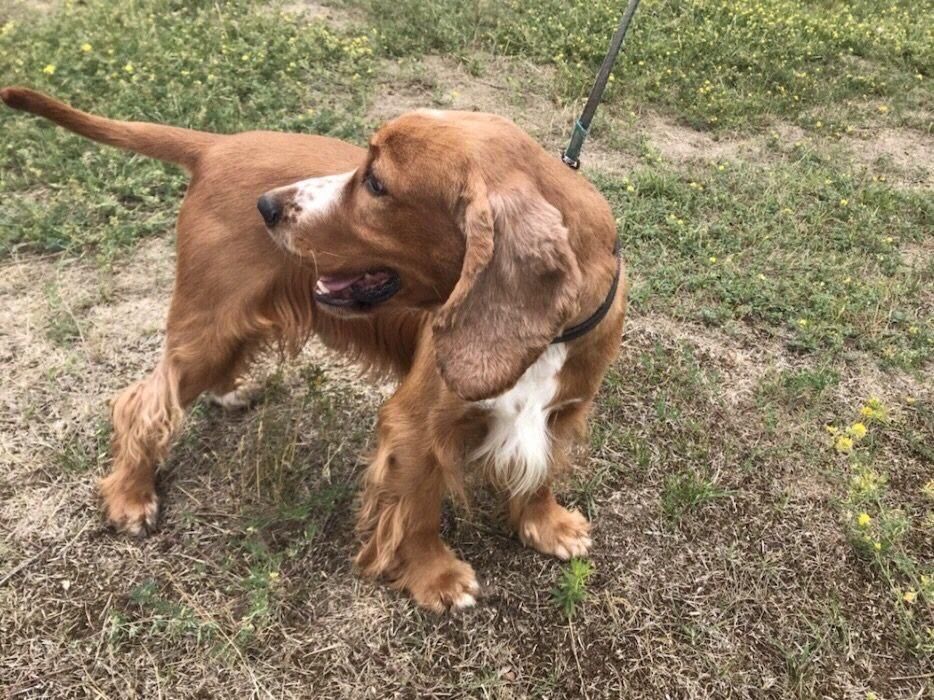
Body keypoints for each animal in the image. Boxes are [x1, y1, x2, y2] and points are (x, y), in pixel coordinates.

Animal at [5, 89, 628, 612]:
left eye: (375, 183)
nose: (267, 206)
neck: (553, 335)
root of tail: (216, 145)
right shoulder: (415, 424)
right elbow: (417, 508)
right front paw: (436, 578)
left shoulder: (566, 409)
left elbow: (542, 473)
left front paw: (547, 525)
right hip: (208, 320)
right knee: (142, 401)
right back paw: (131, 495)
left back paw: (227, 395)